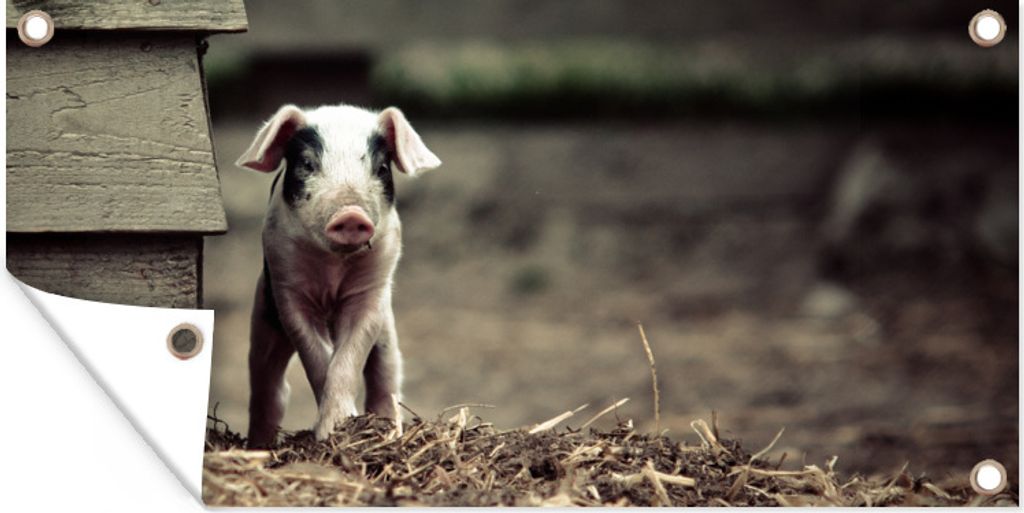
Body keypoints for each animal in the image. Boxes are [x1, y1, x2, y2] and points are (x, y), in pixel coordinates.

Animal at [236, 104, 441, 447]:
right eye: (307, 164)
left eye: (381, 168)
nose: (351, 214)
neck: (333, 269)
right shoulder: (287, 287)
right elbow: (318, 357)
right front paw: (329, 432)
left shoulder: (372, 290)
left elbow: (347, 358)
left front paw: (342, 427)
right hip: (263, 318)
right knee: (270, 388)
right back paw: (259, 447)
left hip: (388, 330)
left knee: (387, 379)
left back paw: (390, 430)